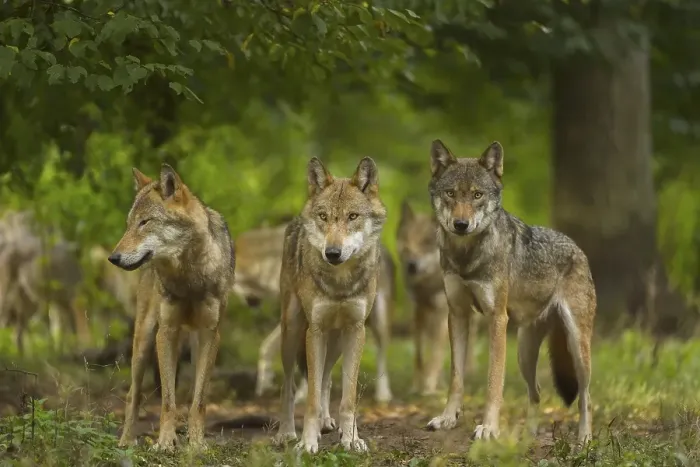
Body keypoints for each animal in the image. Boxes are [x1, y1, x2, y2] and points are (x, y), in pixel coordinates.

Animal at [108, 164, 235, 451]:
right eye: (129, 224)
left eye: (145, 223)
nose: (113, 258)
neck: (189, 277)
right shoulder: (166, 331)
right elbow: (167, 400)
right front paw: (165, 442)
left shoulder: (211, 334)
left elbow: (199, 401)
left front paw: (197, 444)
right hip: (144, 340)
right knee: (134, 393)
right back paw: (127, 440)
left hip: (196, 344)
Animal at [272, 156, 387, 453]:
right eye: (324, 217)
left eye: (352, 217)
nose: (332, 253)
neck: (340, 284)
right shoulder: (315, 330)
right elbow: (310, 398)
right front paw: (307, 443)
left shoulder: (356, 330)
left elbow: (347, 397)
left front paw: (352, 439)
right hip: (293, 332)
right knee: (289, 386)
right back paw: (286, 432)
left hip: (336, 340)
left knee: (325, 378)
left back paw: (327, 422)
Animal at [397, 201, 477, 396]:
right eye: (406, 241)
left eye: (426, 243)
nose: (411, 265)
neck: (427, 285)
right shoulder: (418, 312)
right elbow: (419, 353)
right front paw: (417, 384)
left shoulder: (443, 313)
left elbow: (436, 353)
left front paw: (429, 386)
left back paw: (468, 371)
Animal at [424, 140, 595, 444]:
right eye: (451, 193)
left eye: (477, 195)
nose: (460, 224)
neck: (467, 256)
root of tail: (578, 249)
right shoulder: (457, 314)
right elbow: (456, 377)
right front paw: (447, 419)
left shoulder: (496, 319)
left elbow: (494, 382)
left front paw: (489, 428)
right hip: (524, 354)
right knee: (536, 392)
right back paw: (528, 435)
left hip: (577, 347)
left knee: (586, 396)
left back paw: (584, 439)